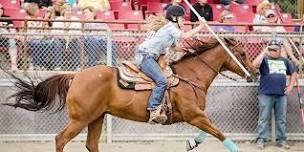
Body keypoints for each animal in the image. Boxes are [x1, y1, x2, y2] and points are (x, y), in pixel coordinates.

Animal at [4, 38, 256, 152]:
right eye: (243, 53)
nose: (254, 73)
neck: (189, 76)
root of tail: (76, 75)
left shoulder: (196, 115)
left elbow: (208, 132)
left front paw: (191, 142)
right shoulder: (194, 114)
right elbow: (218, 132)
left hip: (96, 118)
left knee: (91, 144)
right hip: (80, 119)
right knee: (61, 139)